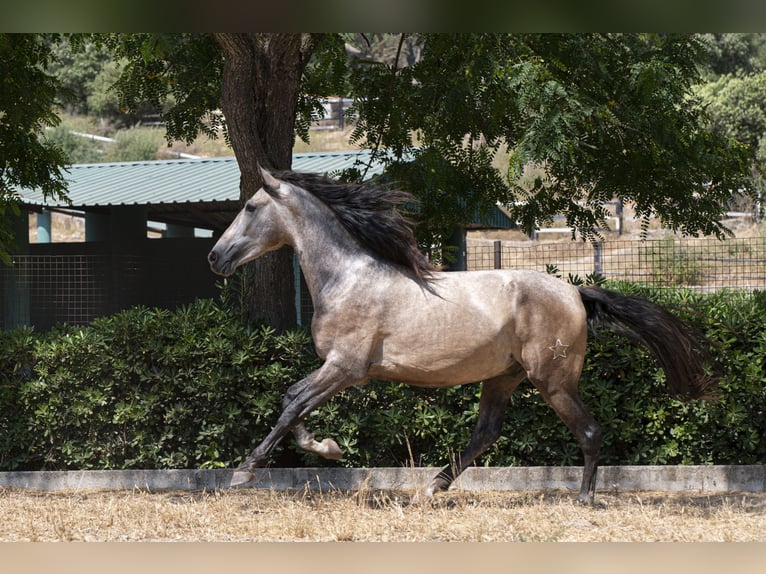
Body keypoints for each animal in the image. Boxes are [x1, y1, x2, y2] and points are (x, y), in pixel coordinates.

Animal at [207, 167, 715, 504]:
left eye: (250, 207)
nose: (215, 256)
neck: (347, 278)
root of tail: (575, 291)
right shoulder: (338, 369)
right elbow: (291, 401)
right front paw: (324, 447)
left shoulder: (345, 368)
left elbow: (292, 403)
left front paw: (245, 473)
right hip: (504, 376)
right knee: (486, 433)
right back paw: (432, 487)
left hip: (552, 380)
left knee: (588, 431)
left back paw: (584, 499)